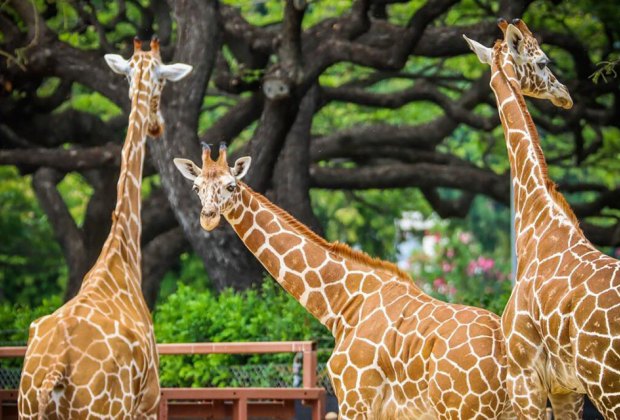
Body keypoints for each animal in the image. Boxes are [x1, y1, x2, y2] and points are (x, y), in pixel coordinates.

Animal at [17, 37, 191, 418]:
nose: (157, 124)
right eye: (162, 82)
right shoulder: (149, 402)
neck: (120, 253)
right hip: (106, 410)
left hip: (25, 407)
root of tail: (54, 371)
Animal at [172, 144, 516, 416]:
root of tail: (506, 351)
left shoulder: (354, 396)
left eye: (231, 185)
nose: (208, 217)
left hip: (465, 409)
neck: (343, 303)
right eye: (197, 187)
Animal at [464, 18, 620, 418]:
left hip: (607, 384)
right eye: (545, 62)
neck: (536, 221)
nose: (565, 94)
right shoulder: (566, 389)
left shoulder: (525, 379)